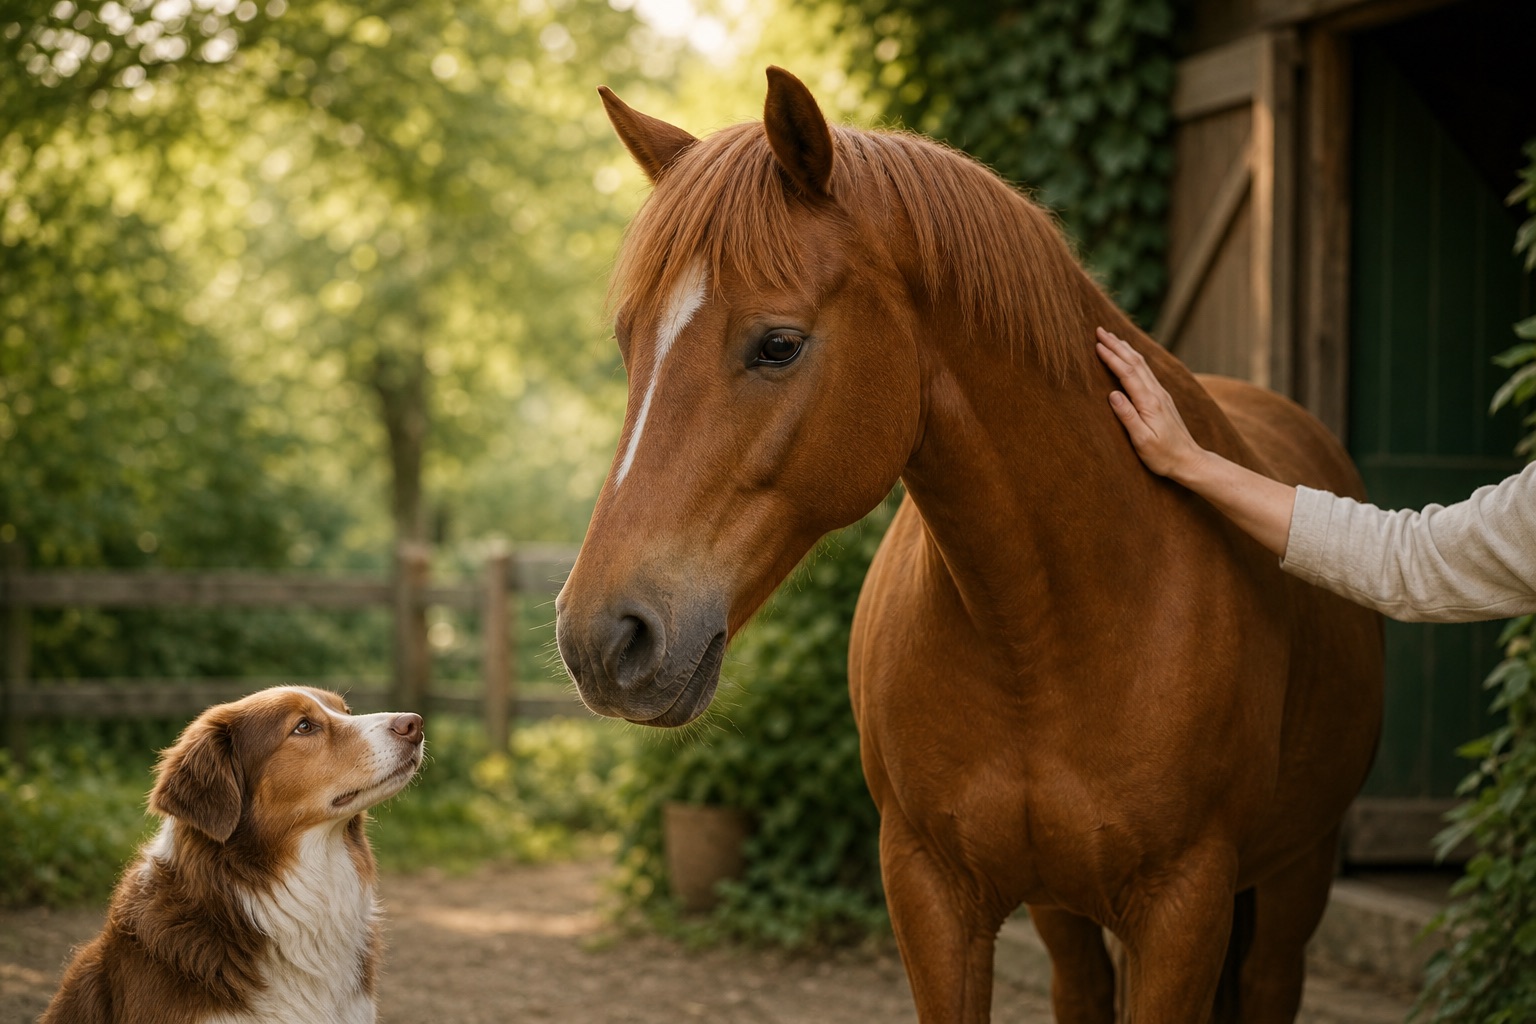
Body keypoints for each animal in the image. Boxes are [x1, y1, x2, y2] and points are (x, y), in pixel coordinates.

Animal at [554, 67, 1383, 1023]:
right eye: (629, 344)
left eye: (778, 344)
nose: (600, 637)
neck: (1049, 627)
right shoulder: (931, 894)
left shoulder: (1185, 911)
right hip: (1066, 912)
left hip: (1293, 884)